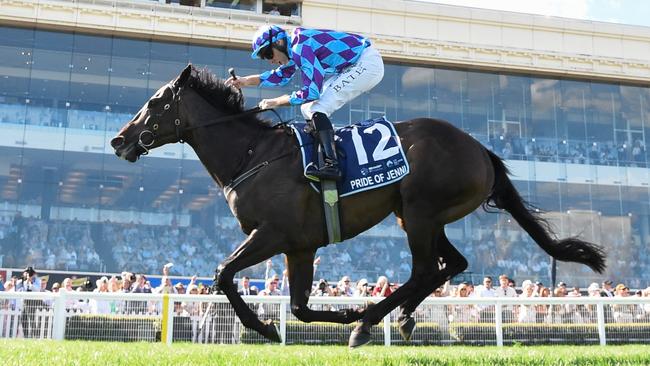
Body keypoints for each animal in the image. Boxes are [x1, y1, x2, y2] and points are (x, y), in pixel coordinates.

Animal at [110, 66, 604, 348]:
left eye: (154, 102)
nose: (118, 140)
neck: (253, 155)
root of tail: (480, 148)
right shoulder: (300, 247)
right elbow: (299, 307)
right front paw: (327, 316)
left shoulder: (272, 234)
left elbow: (224, 275)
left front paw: (270, 328)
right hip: (419, 216)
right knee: (452, 264)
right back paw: (398, 318)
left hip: (420, 212)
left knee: (424, 269)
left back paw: (368, 322)